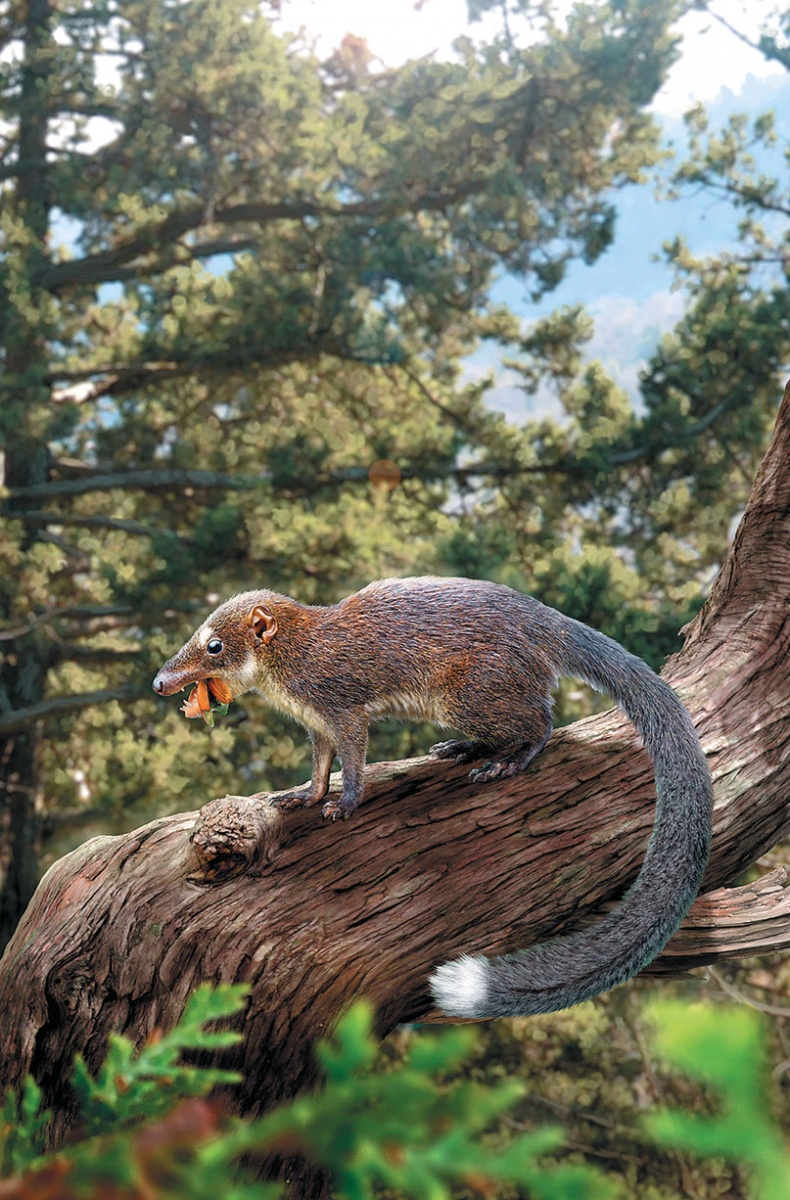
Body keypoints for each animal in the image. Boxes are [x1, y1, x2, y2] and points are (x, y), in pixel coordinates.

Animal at [152, 576, 712, 1019]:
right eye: (194, 636)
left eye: (214, 646)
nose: (159, 681)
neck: (299, 659)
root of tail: (543, 620)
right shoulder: (317, 723)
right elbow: (318, 770)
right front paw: (297, 798)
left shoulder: (342, 710)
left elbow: (352, 764)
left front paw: (344, 806)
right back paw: (460, 749)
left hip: (470, 694)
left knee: (542, 721)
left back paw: (502, 763)